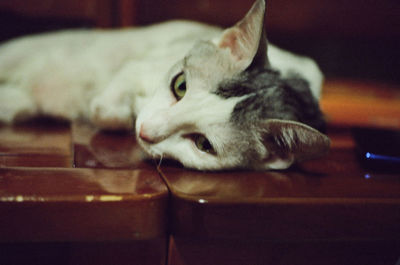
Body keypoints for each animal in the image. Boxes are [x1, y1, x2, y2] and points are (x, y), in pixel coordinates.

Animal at [0, 0, 330, 169]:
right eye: (180, 85)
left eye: (203, 144)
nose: (145, 131)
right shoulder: (139, 65)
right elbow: (107, 107)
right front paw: (122, 109)